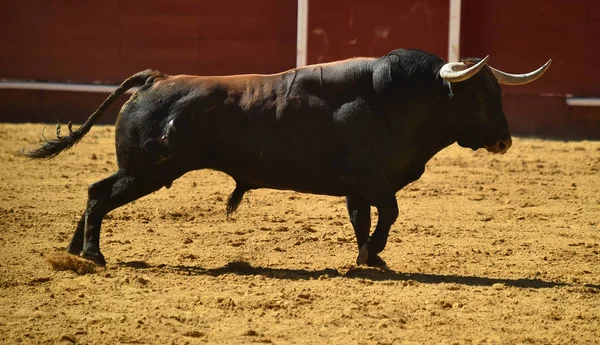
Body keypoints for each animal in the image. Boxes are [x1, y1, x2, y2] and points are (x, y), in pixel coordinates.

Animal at [28, 48, 552, 266]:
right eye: (478, 96)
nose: (505, 141)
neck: (397, 100)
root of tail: (156, 79)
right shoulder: (372, 179)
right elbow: (388, 212)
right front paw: (374, 254)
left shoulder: (358, 186)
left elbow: (363, 218)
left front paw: (369, 259)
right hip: (146, 173)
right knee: (100, 196)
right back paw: (93, 255)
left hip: (140, 171)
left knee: (94, 191)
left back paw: (73, 252)